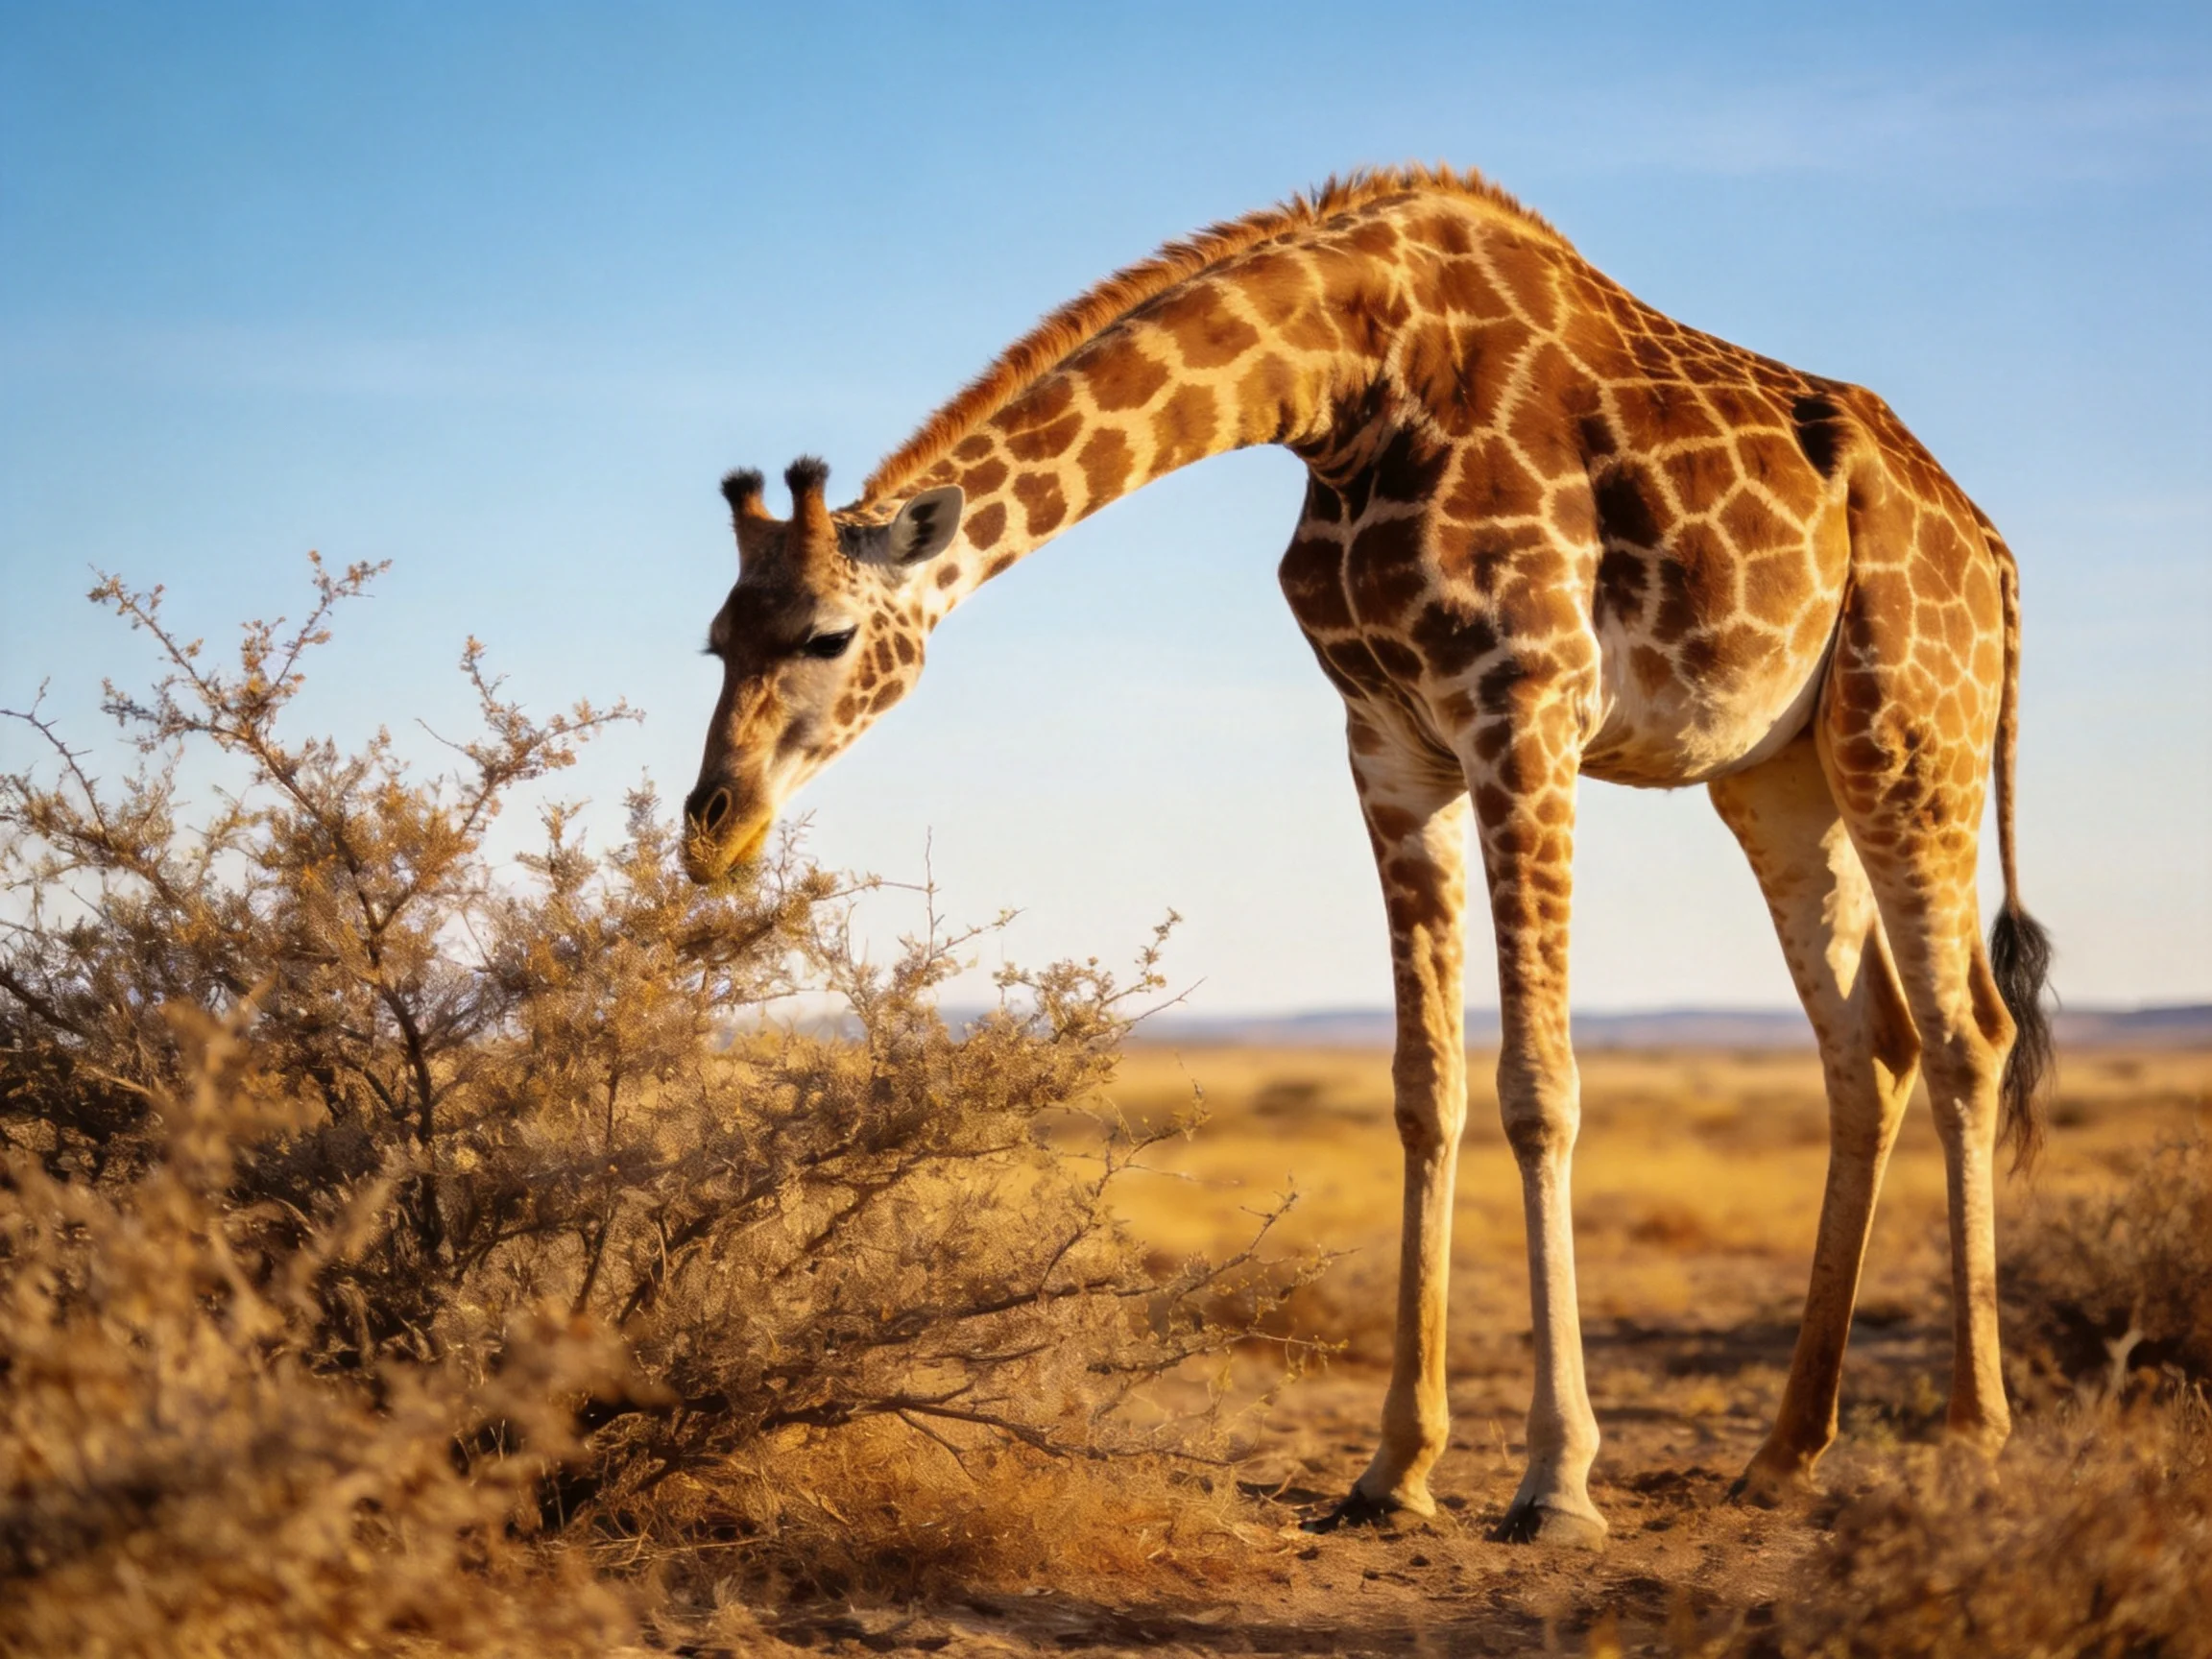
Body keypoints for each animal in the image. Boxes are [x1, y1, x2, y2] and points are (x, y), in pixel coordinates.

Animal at [681, 167, 2054, 1545]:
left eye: (825, 634)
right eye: (714, 640)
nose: (712, 825)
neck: (1352, 387)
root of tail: (1993, 553)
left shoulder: (1526, 710)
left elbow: (1540, 1087)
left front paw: (1557, 1483)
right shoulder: (1391, 743)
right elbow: (1423, 1087)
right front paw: (1396, 1469)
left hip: (1908, 736)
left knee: (1966, 1033)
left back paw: (1974, 1438)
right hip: (1779, 775)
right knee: (1867, 1047)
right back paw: (1784, 1453)